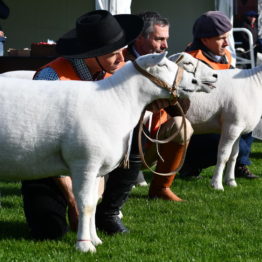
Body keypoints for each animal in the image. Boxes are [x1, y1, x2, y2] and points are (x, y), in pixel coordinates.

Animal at [0, 52, 217, 252]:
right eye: (162, 64)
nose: (194, 81)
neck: (116, 101)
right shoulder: (85, 162)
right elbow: (84, 204)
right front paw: (84, 245)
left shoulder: (96, 167)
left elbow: (94, 203)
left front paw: (95, 239)